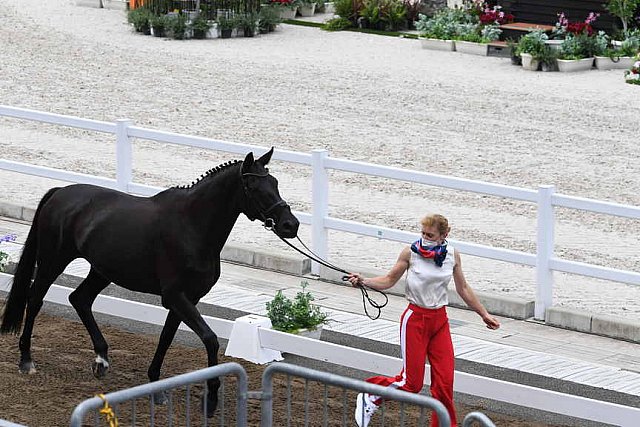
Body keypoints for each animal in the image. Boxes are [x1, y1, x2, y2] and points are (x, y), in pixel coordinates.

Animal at [0, 149, 300, 416]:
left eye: (275, 183)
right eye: (254, 186)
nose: (290, 225)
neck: (192, 226)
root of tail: (60, 192)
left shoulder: (185, 299)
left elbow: (166, 338)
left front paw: (156, 386)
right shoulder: (176, 297)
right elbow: (210, 339)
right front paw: (211, 400)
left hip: (102, 271)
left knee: (80, 299)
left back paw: (101, 360)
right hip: (53, 262)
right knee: (35, 299)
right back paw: (26, 361)